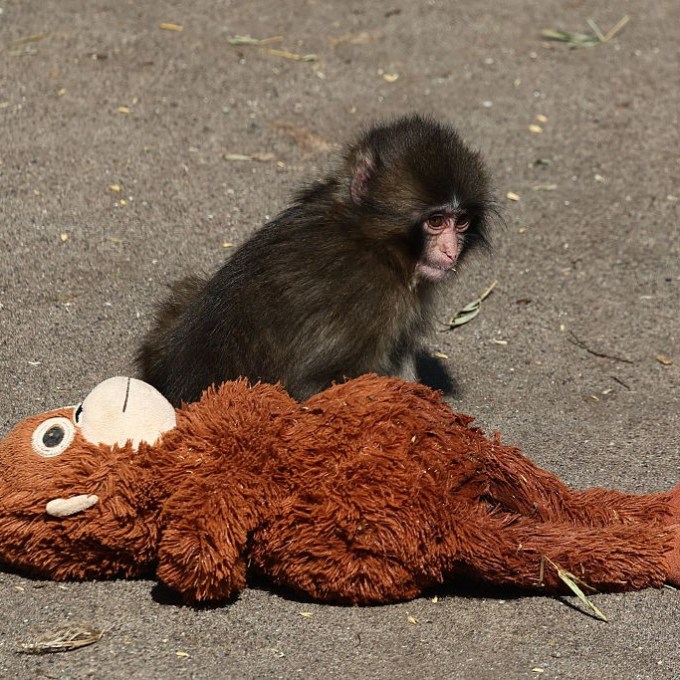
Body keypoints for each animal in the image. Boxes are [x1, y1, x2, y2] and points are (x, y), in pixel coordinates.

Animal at [137, 114, 495, 405]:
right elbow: (319, 383)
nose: (450, 250)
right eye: (436, 221)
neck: (373, 241)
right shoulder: (371, 300)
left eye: (460, 221)